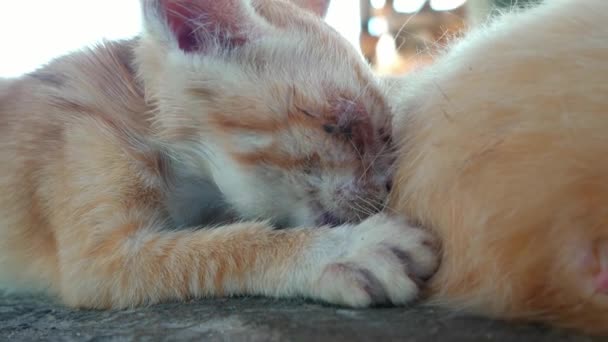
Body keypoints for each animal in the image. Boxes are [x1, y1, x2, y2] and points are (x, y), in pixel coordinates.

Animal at [0, 0, 436, 308]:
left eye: (385, 135)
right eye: (342, 126)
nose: (388, 182)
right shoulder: (99, 258)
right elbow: (219, 247)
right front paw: (340, 250)